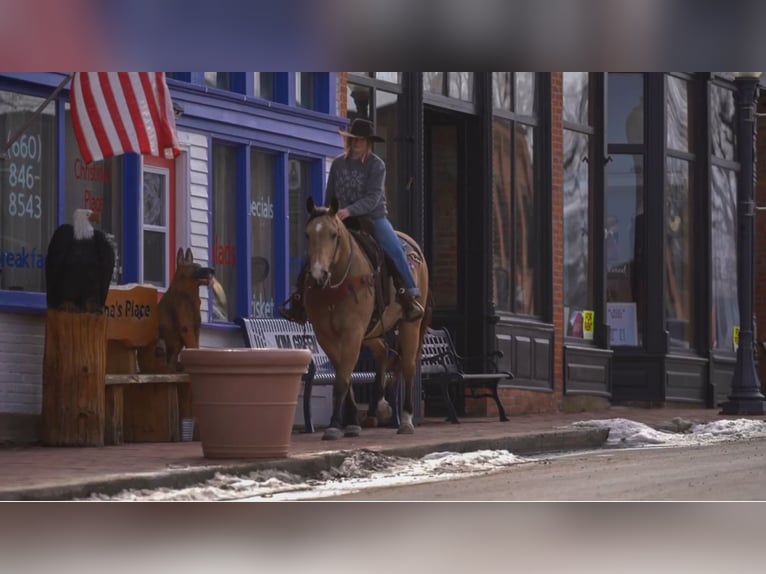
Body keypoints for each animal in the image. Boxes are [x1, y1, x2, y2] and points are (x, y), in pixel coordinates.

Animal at [302, 197, 432, 440]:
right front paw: (352, 421)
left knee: (408, 365)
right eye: (307, 235)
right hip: (371, 332)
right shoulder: (326, 335)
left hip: (410, 324)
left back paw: (406, 419)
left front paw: (335, 425)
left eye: (333, 234)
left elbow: (342, 379)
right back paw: (374, 408)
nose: (317, 276)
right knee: (383, 352)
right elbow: (344, 375)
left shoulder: (352, 332)